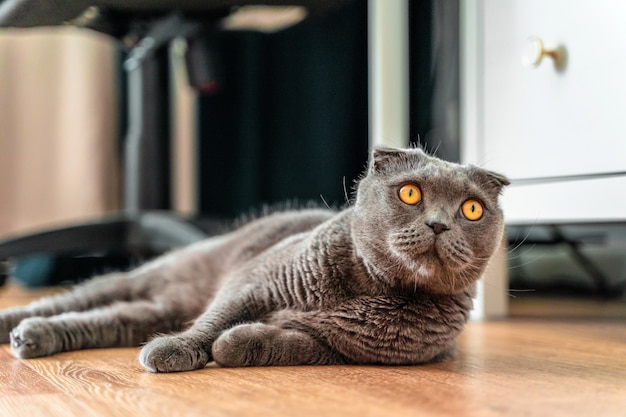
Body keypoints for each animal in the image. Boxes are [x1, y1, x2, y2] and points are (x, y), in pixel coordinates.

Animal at [0, 146, 504, 370]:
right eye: (410, 193)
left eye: (471, 209)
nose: (439, 224)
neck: (371, 289)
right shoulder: (253, 284)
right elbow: (215, 321)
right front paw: (178, 350)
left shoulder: (343, 349)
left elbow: (289, 344)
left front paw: (236, 345)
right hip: (150, 276)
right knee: (74, 299)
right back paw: (14, 325)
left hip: (156, 309)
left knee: (105, 320)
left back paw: (33, 337)